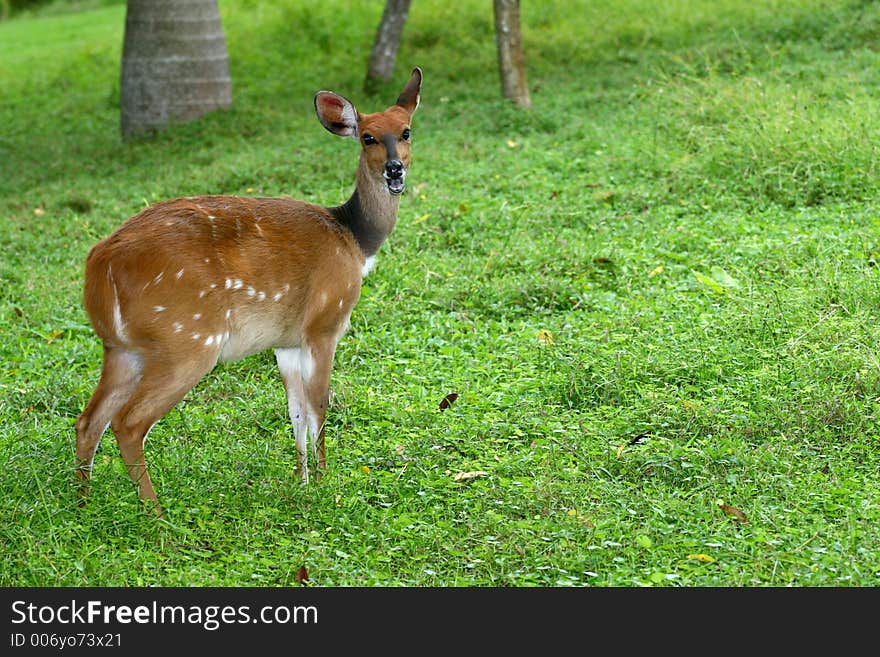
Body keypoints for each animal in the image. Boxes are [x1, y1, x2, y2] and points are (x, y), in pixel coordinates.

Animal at [72, 69, 422, 516]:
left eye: (406, 130)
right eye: (368, 137)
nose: (395, 171)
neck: (354, 240)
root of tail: (100, 265)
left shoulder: (286, 341)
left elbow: (295, 412)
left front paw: (301, 480)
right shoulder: (324, 325)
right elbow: (320, 405)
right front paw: (325, 483)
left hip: (121, 348)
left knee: (89, 419)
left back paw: (82, 502)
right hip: (186, 341)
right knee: (129, 422)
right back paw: (156, 513)